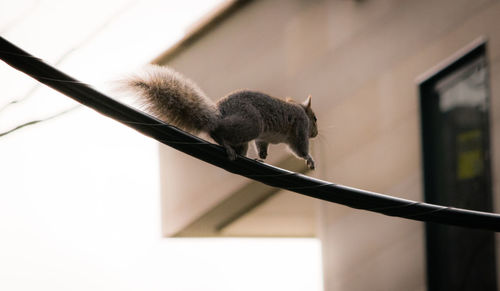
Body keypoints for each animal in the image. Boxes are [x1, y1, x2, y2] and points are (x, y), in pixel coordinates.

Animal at [126, 64, 320, 170]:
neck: (298, 108)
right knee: (219, 133)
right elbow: (300, 149)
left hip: (246, 135)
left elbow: (261, 143)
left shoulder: (264, 138)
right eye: (315, 119)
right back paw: (225, 144)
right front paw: (309, 159)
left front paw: (263, 154)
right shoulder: (300, 126)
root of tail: (216, 118)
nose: (316, 133)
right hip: (252, 123)